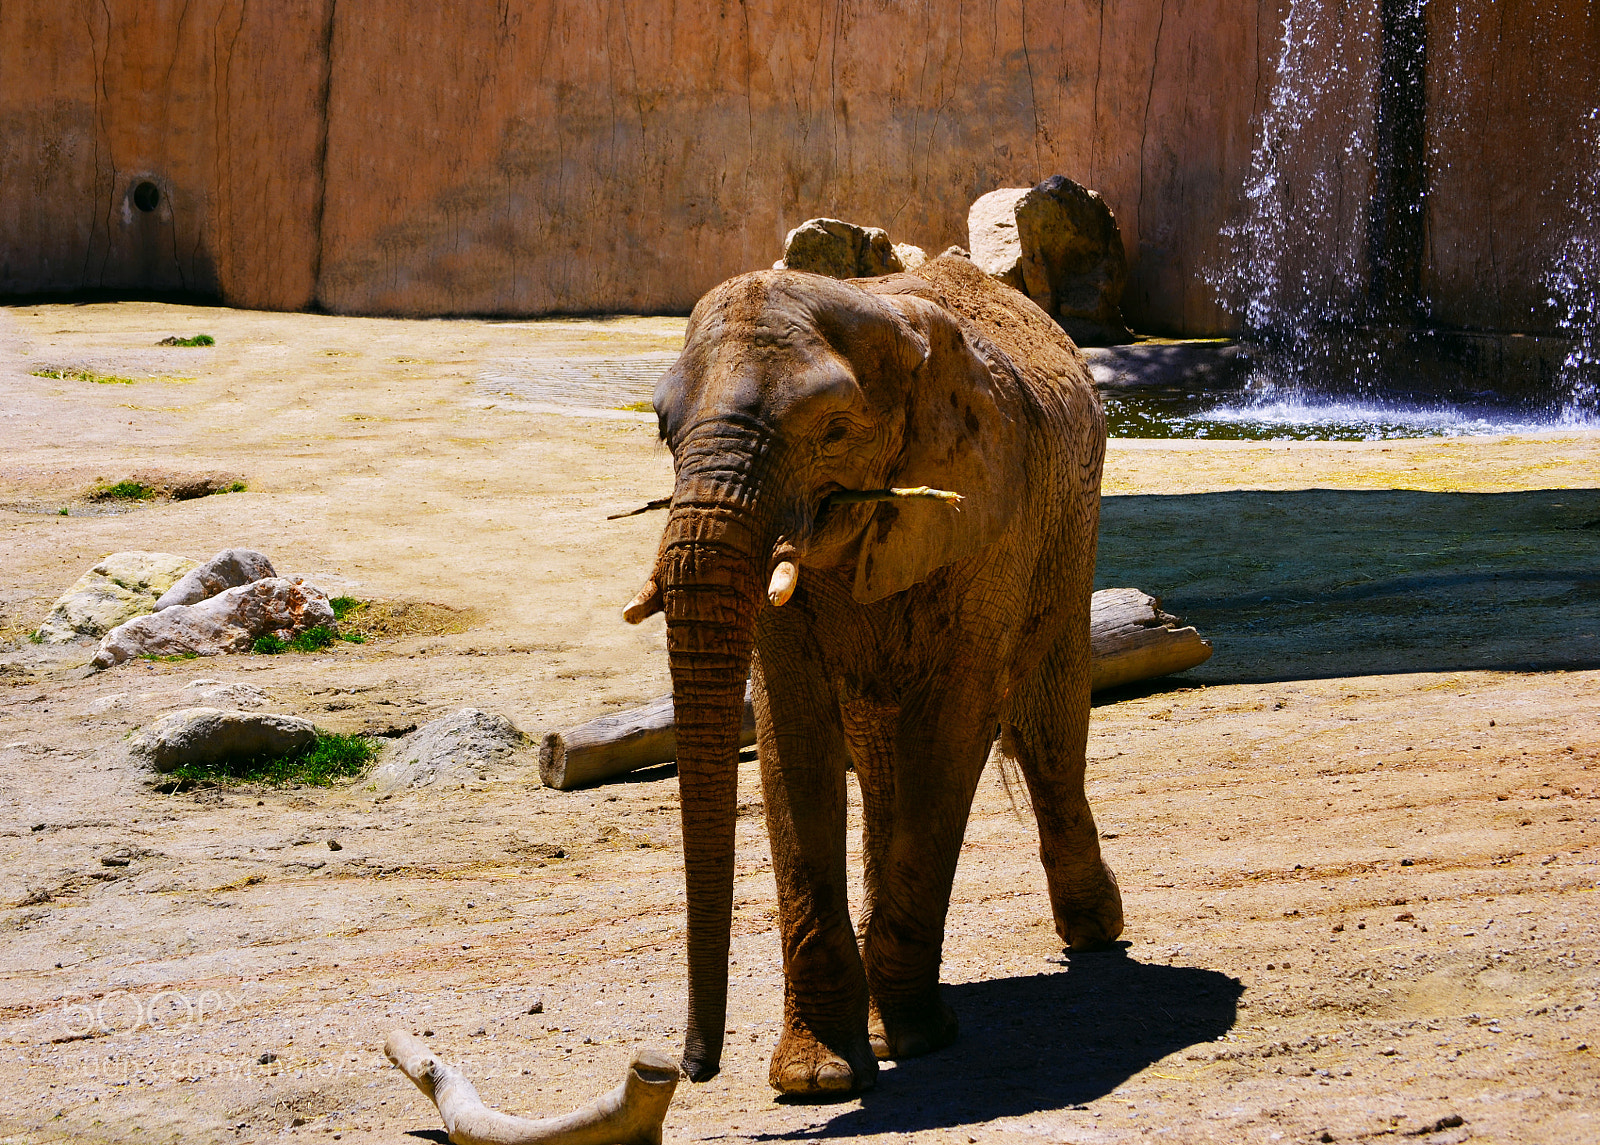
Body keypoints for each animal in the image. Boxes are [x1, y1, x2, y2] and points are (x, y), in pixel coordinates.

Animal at [622, 253, 1124, 1097]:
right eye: (663, 429)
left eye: (832, 431)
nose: (685, 1068)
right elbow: (792, 736)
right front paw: (820, 1076)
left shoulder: (991, 512)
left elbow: (956, 721)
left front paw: (915, 1038)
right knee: (884, 751)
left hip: (1071, 518)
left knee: (1046, 720)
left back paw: (1093, 932)